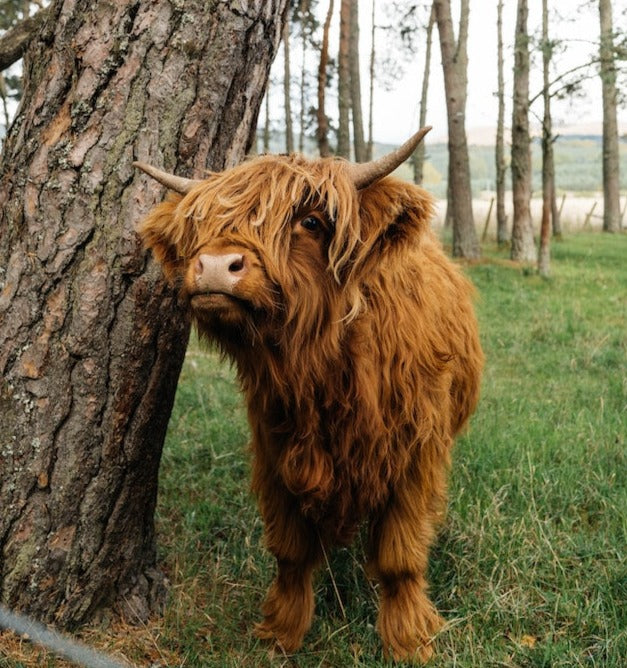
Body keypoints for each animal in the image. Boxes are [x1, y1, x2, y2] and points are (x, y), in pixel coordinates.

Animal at [135, 129, 484, 664]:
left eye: (311, 221)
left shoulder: (415, 456)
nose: (214, 266)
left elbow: (400, 554)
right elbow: (290, 550)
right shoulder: (276, 450)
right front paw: (282, 630)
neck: (323, 372)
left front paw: (409, 640)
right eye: (201, 225)